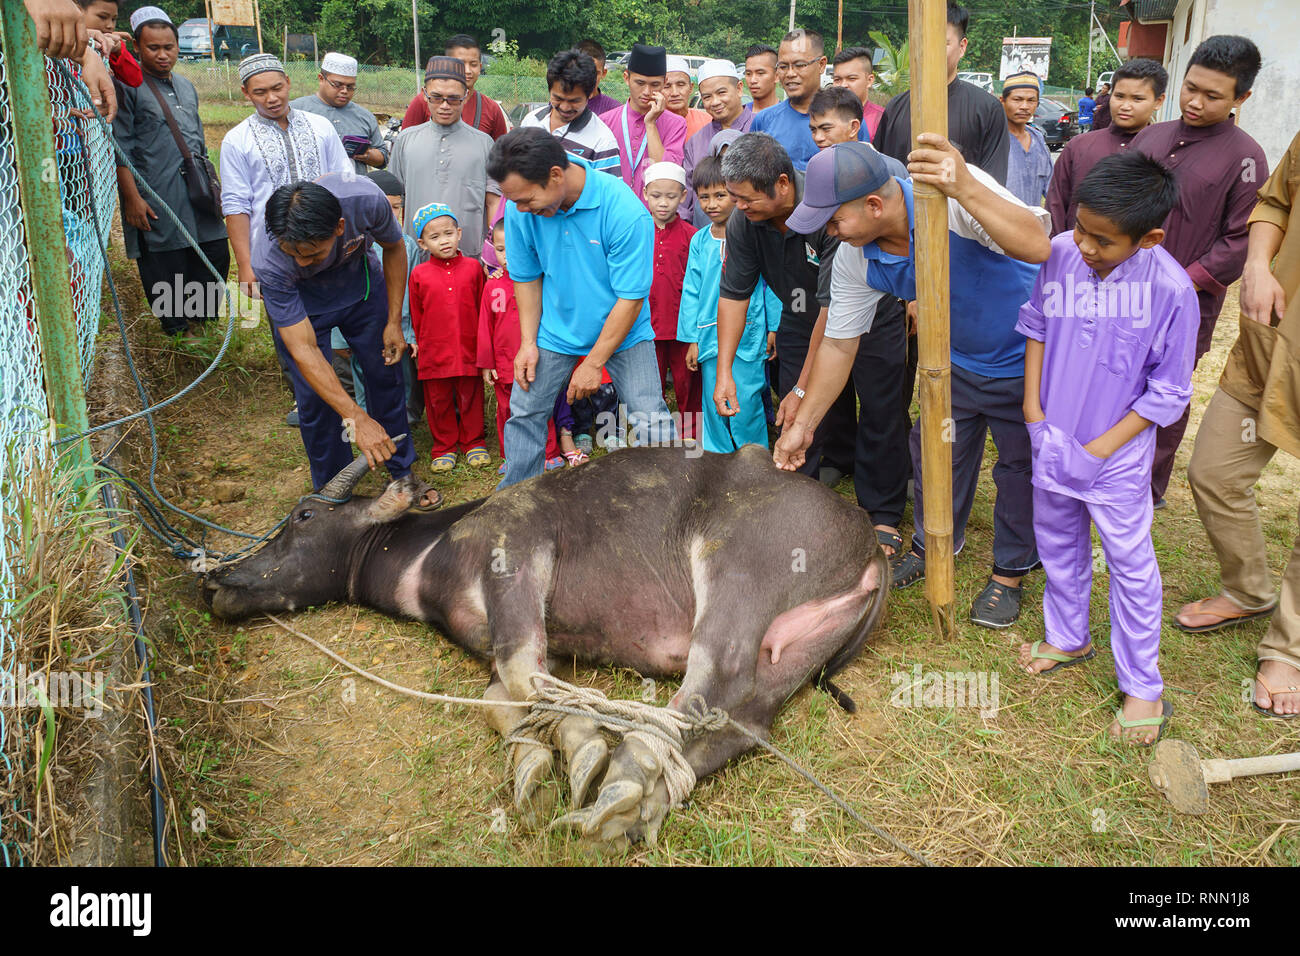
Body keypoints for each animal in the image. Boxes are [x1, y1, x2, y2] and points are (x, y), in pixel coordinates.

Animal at [205, 444, 894, 848]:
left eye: (302, 518)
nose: (215, 579)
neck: (430, 554)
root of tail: (870, 543)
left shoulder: (515, 557)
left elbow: (520, 677)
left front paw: (583, 753)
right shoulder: (539, 641)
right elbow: (508, 696)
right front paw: (538, 766)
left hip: (735, 578)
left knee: (706, 688)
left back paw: (619, 786)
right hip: (790, 654)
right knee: (740, 723)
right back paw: (639, 806)